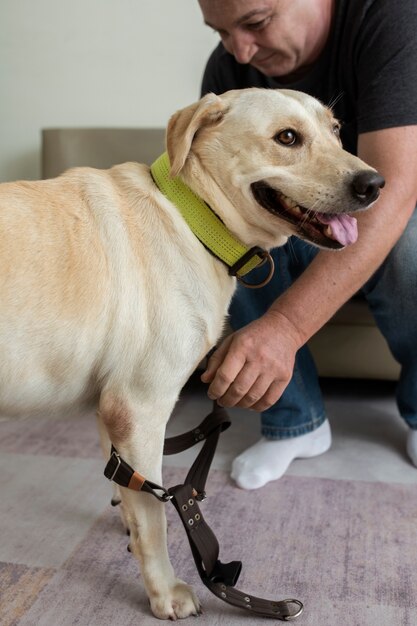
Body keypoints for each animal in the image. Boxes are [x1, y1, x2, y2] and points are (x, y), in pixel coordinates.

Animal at [0, 88, 384, 620]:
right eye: (288, 137)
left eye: (336, 130)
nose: (375, 184)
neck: (194, 219)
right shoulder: (139, 407)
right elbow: (156, 515)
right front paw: (165, 592)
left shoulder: (110, 404)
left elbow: (126, 486)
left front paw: (125, 522)